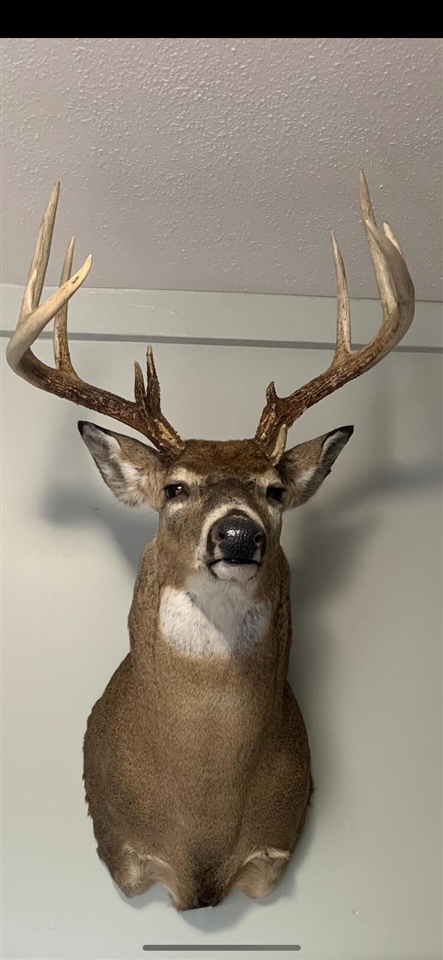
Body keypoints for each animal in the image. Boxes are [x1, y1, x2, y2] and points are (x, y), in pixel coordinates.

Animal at [6, 174, 414, 910]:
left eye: (274, 490)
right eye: (175, 487)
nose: (237, 533)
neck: (201, 825)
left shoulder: (272, 854)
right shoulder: (124, 851)